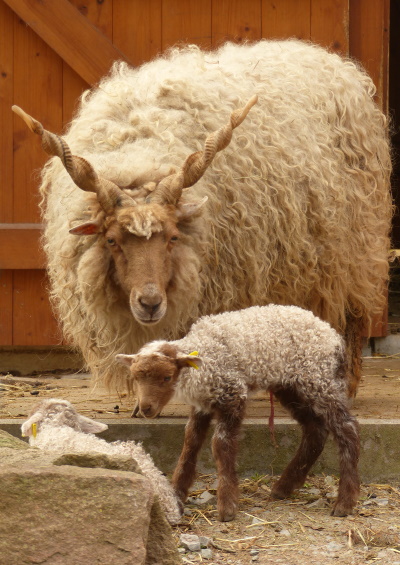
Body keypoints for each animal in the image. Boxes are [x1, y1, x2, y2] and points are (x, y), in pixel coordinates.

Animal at [11, 39, 390, 396]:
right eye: (112, 240)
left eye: (173, 238)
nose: (150, 303)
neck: (139, 154)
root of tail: (322, 55)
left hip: (354, 247)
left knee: (353, 316)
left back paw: (346, 383)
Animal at [116, 306, 362, 524]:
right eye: (136, 377)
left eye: (166, 377)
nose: (146, 408)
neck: (204, 357)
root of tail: (335, 338)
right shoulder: (202, 405)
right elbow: (190, 443)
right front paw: (177, 496)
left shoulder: (233, 395)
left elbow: (221, 446)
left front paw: (227, 507)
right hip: (291, 386)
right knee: (315, 429)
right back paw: (283, 487)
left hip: (318, 379)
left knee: (347, 428)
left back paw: (344, 504)